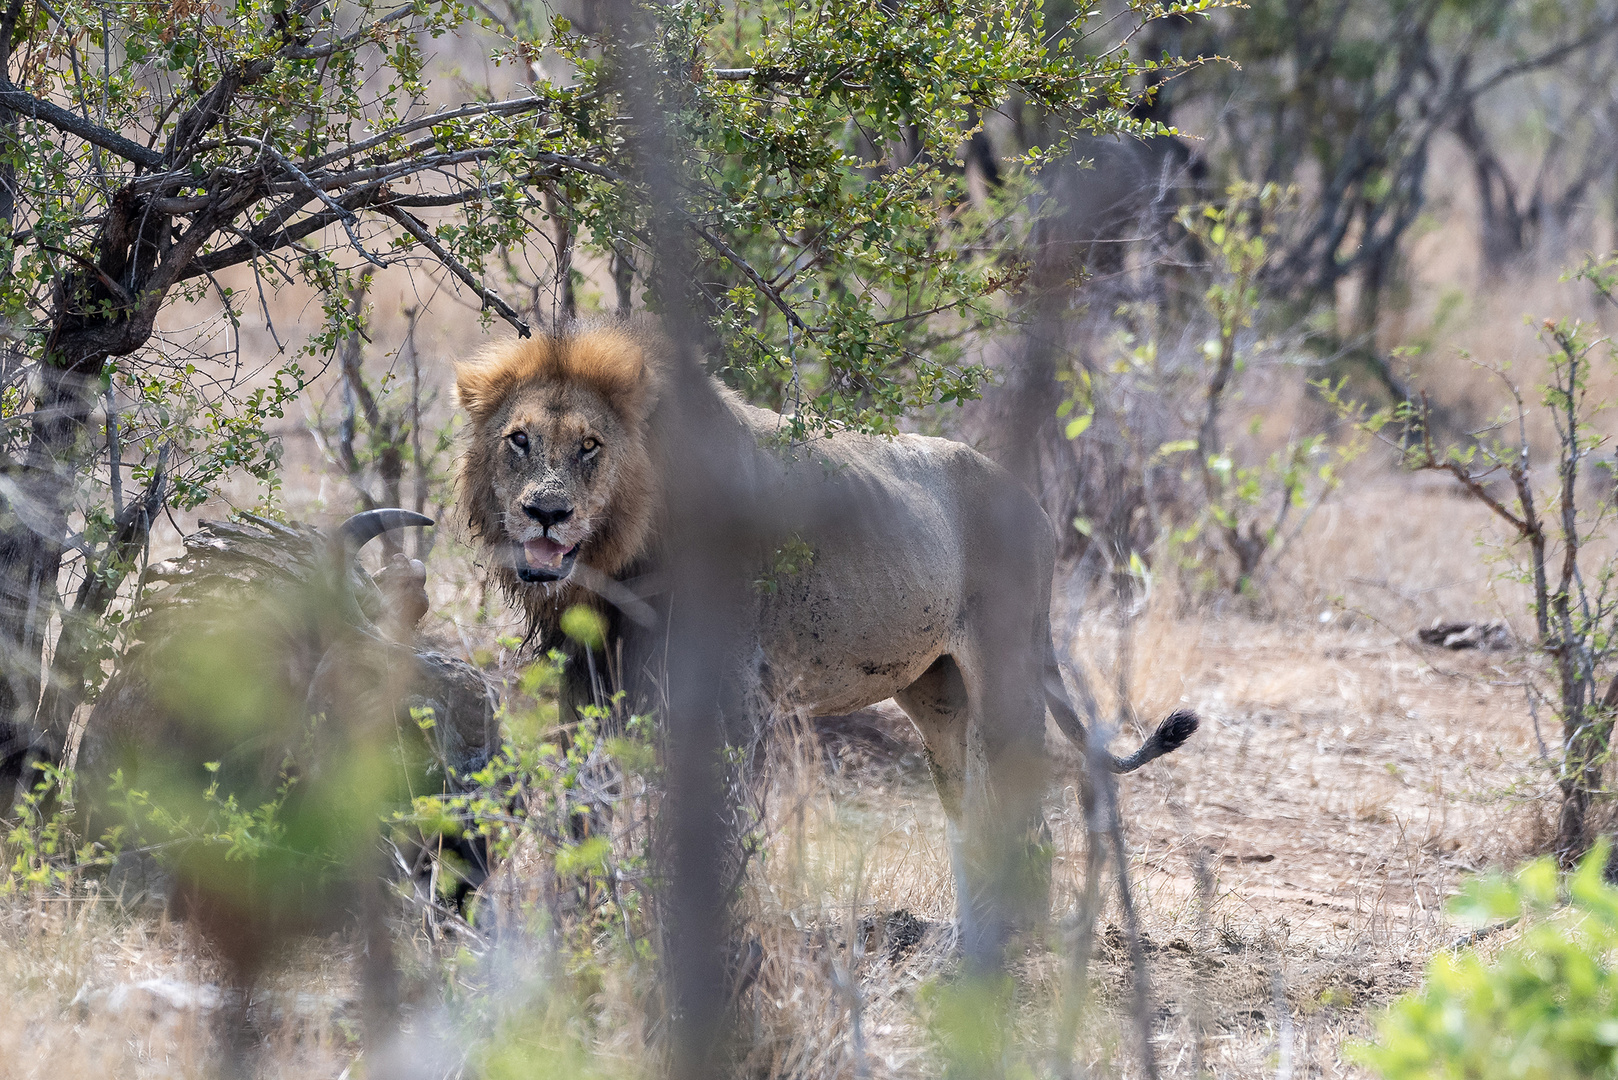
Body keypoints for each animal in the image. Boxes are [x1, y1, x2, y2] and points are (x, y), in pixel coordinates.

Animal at [449, 325, 1197, 932]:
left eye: (590, 446)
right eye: (519, 440)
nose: (547, 513)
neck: (619, 556)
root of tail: (1034, 503)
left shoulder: (732, 693)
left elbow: (717, 827)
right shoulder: (586, 683)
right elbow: (586, 814)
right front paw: (585, 930)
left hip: (1008, 673)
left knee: (1026, 821)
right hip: (937, 694)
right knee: (966, 816)